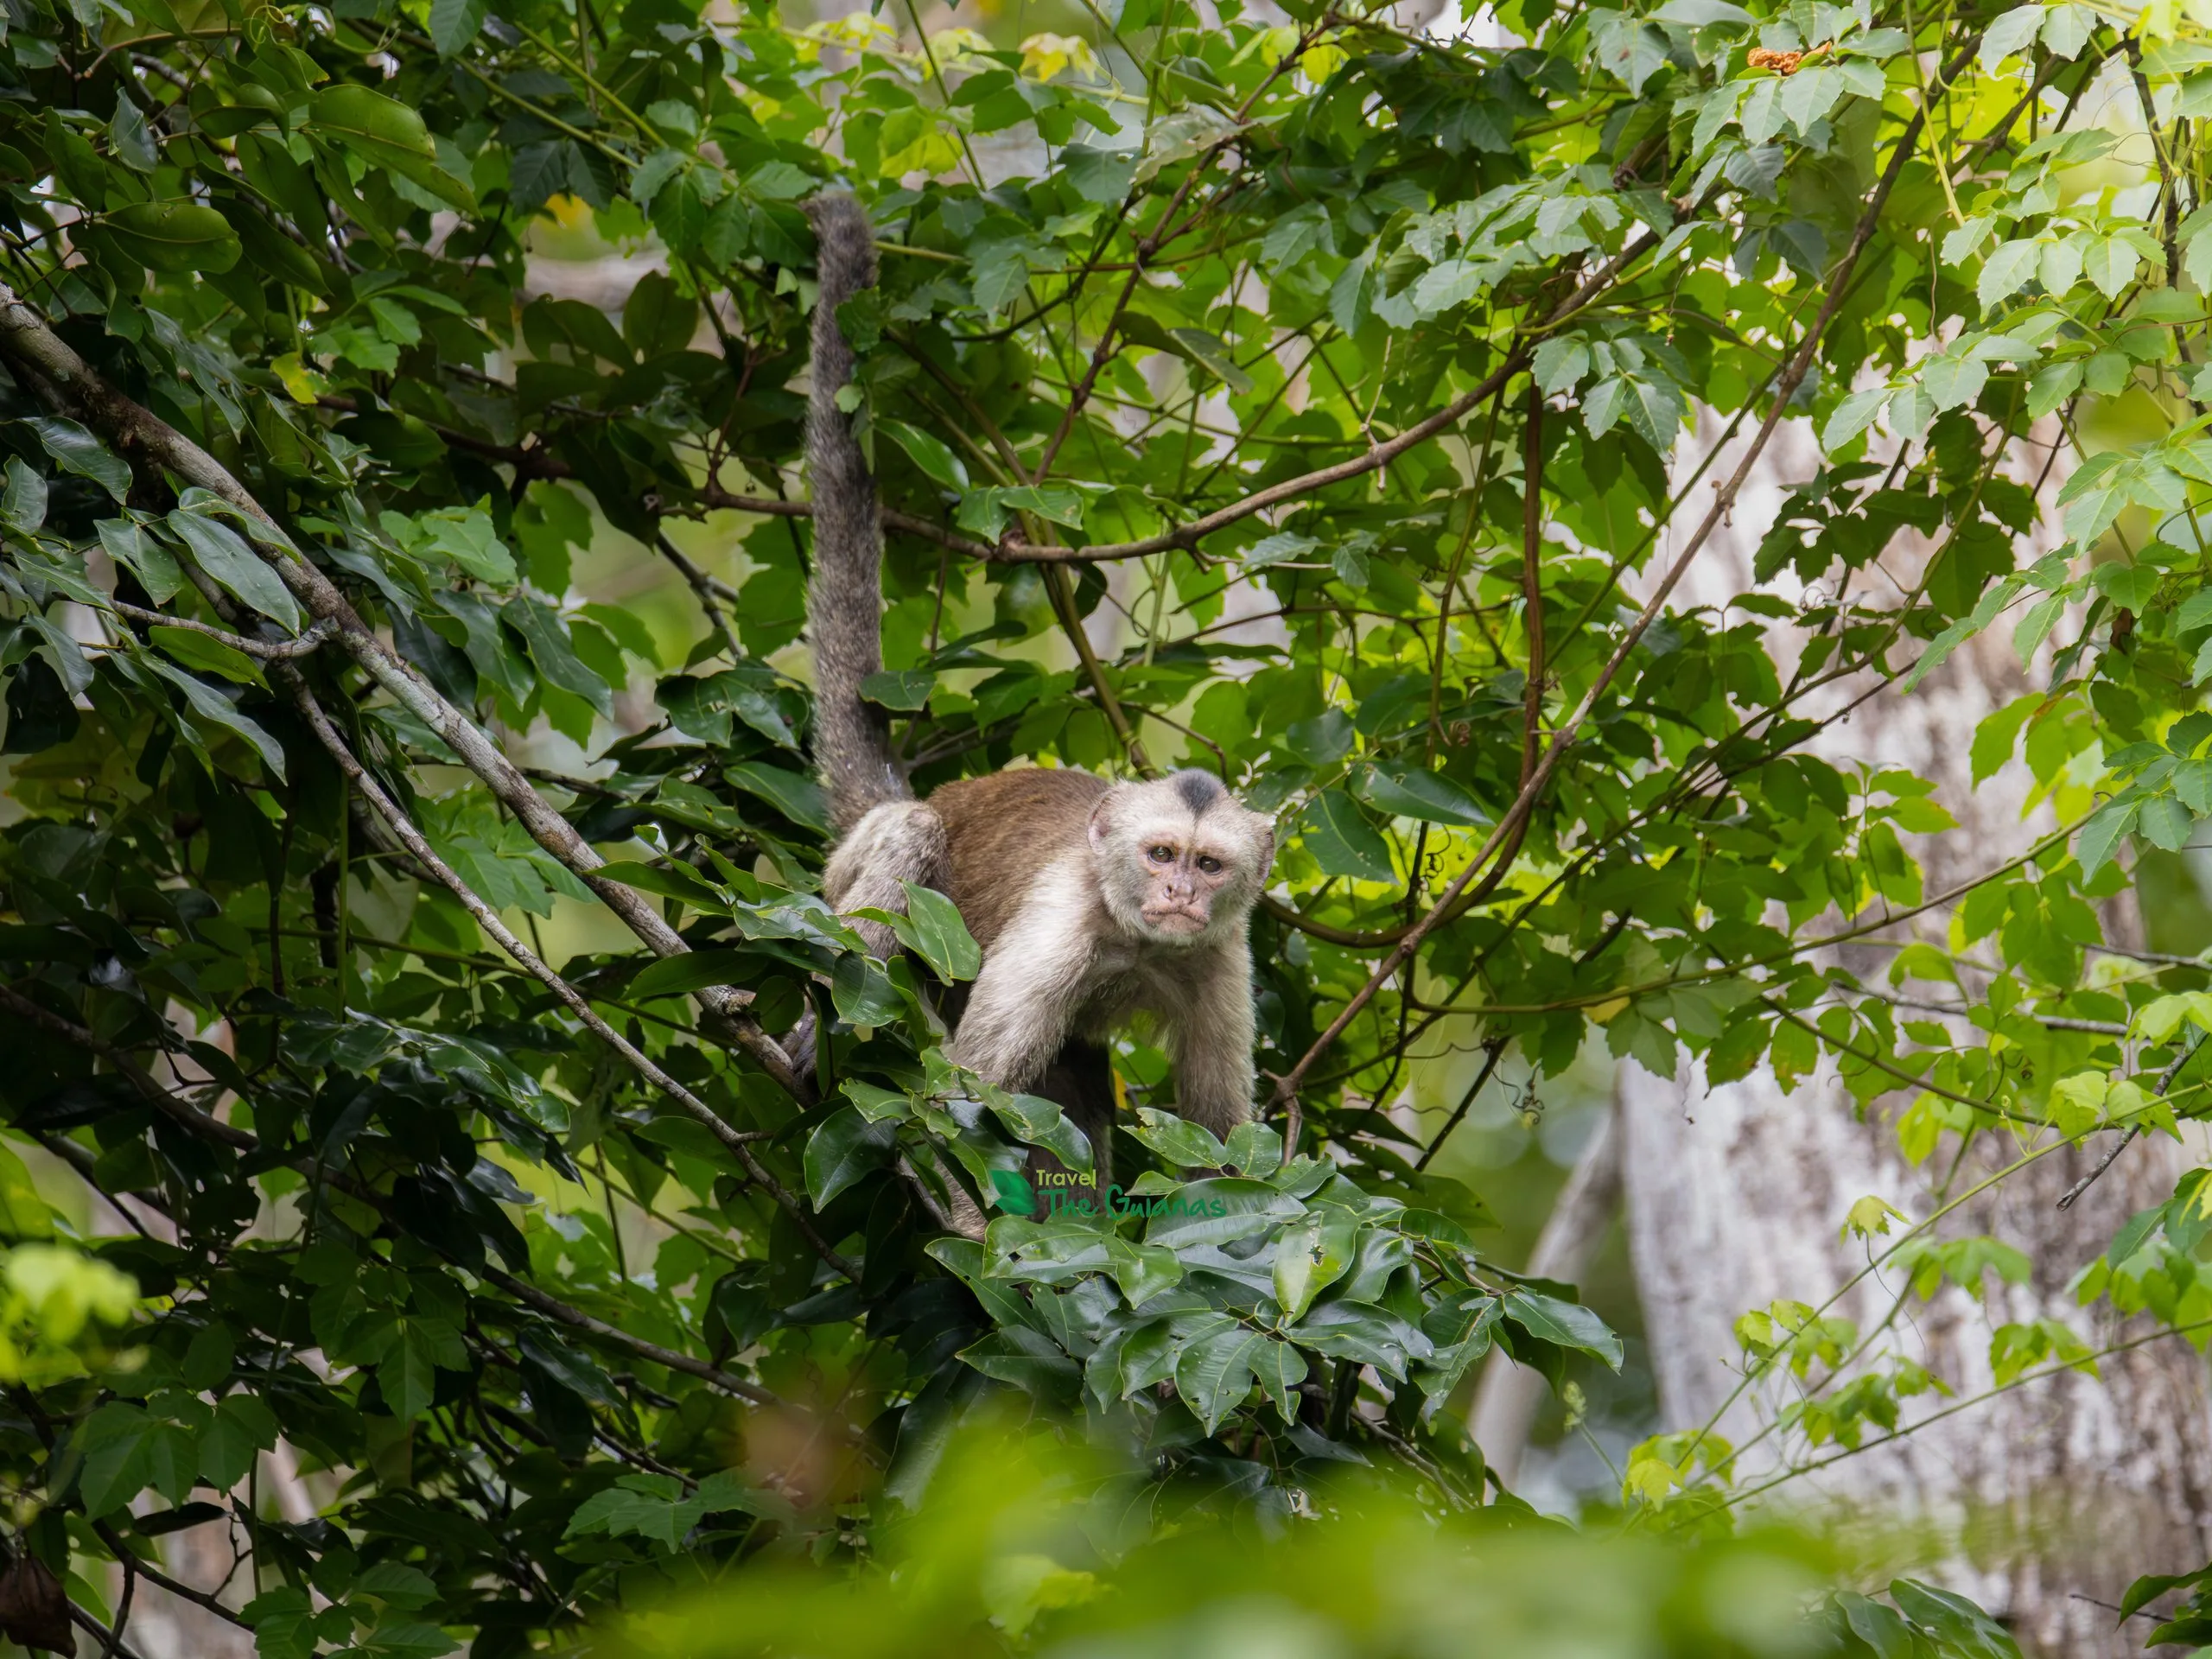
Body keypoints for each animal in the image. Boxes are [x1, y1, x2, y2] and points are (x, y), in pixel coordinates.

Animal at [798, 193, 1277, 1199]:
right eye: (1160, 853)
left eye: (1208, 867)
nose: (1177, 892)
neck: (1138, 939)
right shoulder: (1061, 927)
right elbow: (961, 1092)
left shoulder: (1222, 957)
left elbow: (1222, 1145)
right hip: (851, 874)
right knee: (908, 838)